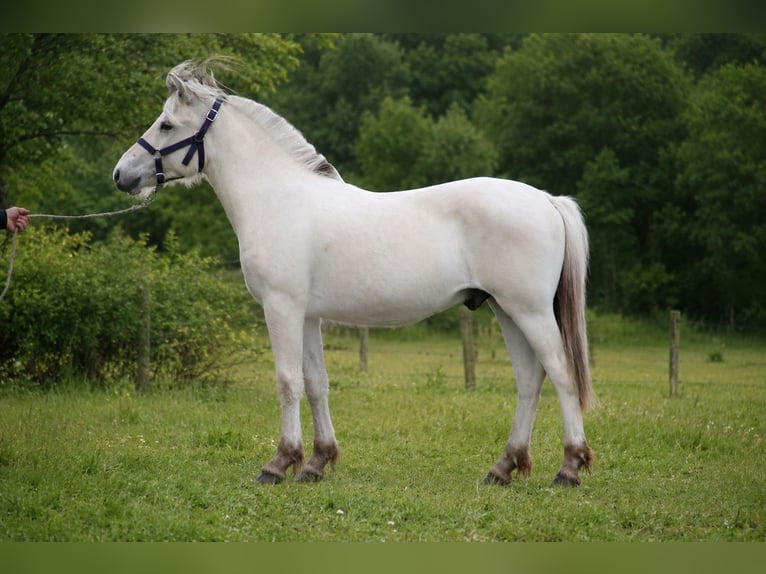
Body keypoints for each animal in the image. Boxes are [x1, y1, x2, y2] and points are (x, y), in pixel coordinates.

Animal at [113, 59, 595, 487]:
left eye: (167, 125)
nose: (121, 175)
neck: (278, 198)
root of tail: (546, 199)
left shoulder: (281, 307)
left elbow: (287, 381)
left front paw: (279, 464)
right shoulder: (307, 315)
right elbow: (316, 383)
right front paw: (316, 463)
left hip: (529, 310)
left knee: (561, 373)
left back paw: (568, 469)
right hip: (506, 311)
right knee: (530, 379)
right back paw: (503, 468)